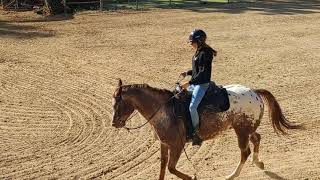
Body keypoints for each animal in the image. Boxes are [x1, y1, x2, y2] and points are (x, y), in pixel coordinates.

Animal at [110, 79, 302, 180]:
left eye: (117, 102)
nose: (114, 123)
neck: (164, 110)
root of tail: (254, 92)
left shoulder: (177, 146)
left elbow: (171, 168)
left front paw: (192, 177)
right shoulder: (164, 145)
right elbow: (163, 167)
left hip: (241, 131)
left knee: (245, 152)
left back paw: (231, 175)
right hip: (246, 128)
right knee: (257, 138)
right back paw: (258, 162)